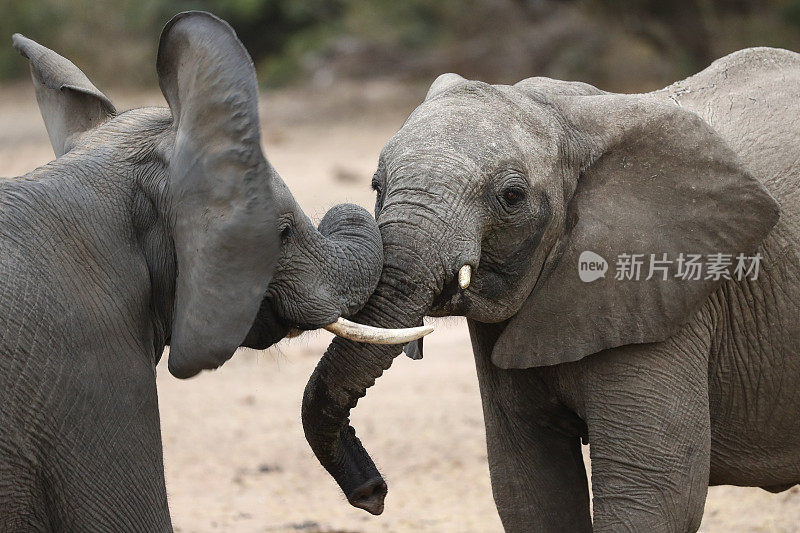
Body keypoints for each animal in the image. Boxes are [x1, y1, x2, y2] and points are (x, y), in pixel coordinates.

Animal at [302, 47, 800, 528]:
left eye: (512, 196)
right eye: (376, 184)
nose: (373, 494)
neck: (569, 118)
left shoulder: (667, 297)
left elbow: (654, 495)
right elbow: (530, 487)